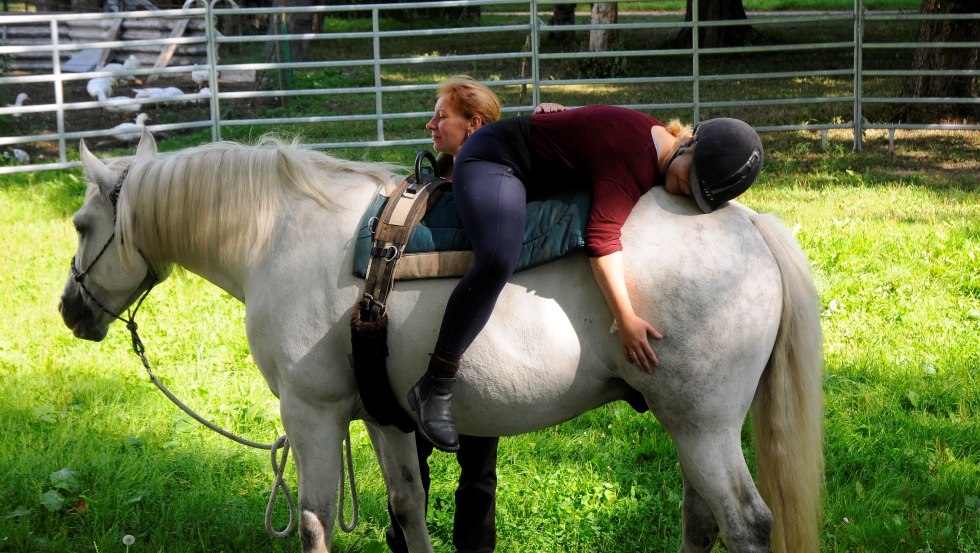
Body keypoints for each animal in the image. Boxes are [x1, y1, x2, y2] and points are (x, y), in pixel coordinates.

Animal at [59, 129, 824, 553]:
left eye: (79, 224)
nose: (70, 310)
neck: (277, 234)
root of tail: (750, 223)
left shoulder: (310, 415)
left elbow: (315, 522)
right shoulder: (384, 416)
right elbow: (407, 510)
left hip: (702, 425)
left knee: (745, 523)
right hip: (690, 425)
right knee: (704, 521)